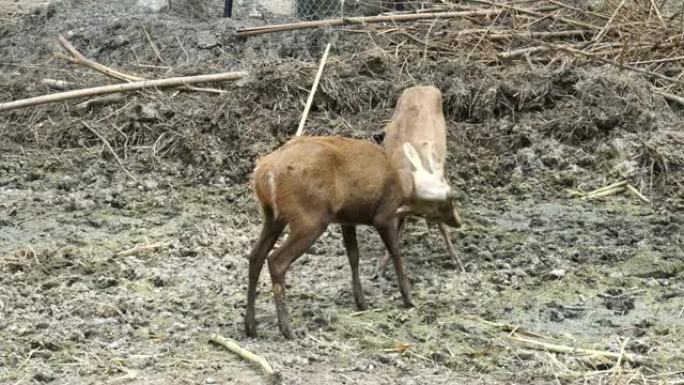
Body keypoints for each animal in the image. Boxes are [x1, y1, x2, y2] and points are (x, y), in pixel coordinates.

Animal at [243, 135, 456, 340]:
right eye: (448, 198)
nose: (457, 221)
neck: (404, 186)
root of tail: (265, 173)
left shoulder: (347, 218)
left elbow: (353, 256)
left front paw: (361, 301)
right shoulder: (384, 214)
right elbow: (395, 251)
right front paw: (408, 298)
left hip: (273, 217)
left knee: (255, 256)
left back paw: (251, 326)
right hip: (310, 218)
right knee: (276, 260)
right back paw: (287, 330)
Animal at [374, 85, 464, 276]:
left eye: (451, 199)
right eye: (432, 213)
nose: (459, 223)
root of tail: (422, 86)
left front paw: (457, 261)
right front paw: (380, 268)